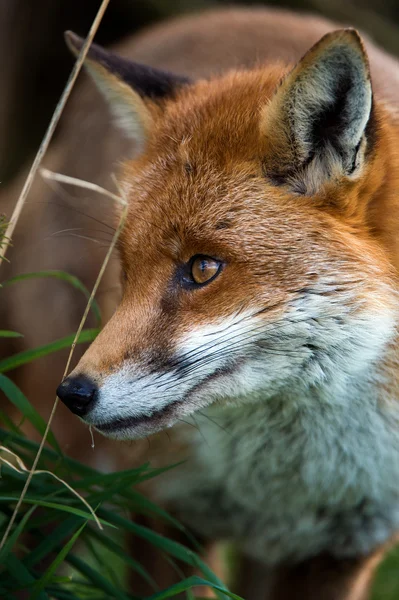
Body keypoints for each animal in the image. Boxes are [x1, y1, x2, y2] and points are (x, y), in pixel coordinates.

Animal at [2, 4, 399, 600]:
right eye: (125, 272)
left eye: (203, 269)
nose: (73, 394)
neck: (280, 483)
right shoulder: (165, 508)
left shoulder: (344, 549)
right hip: (59, 468)